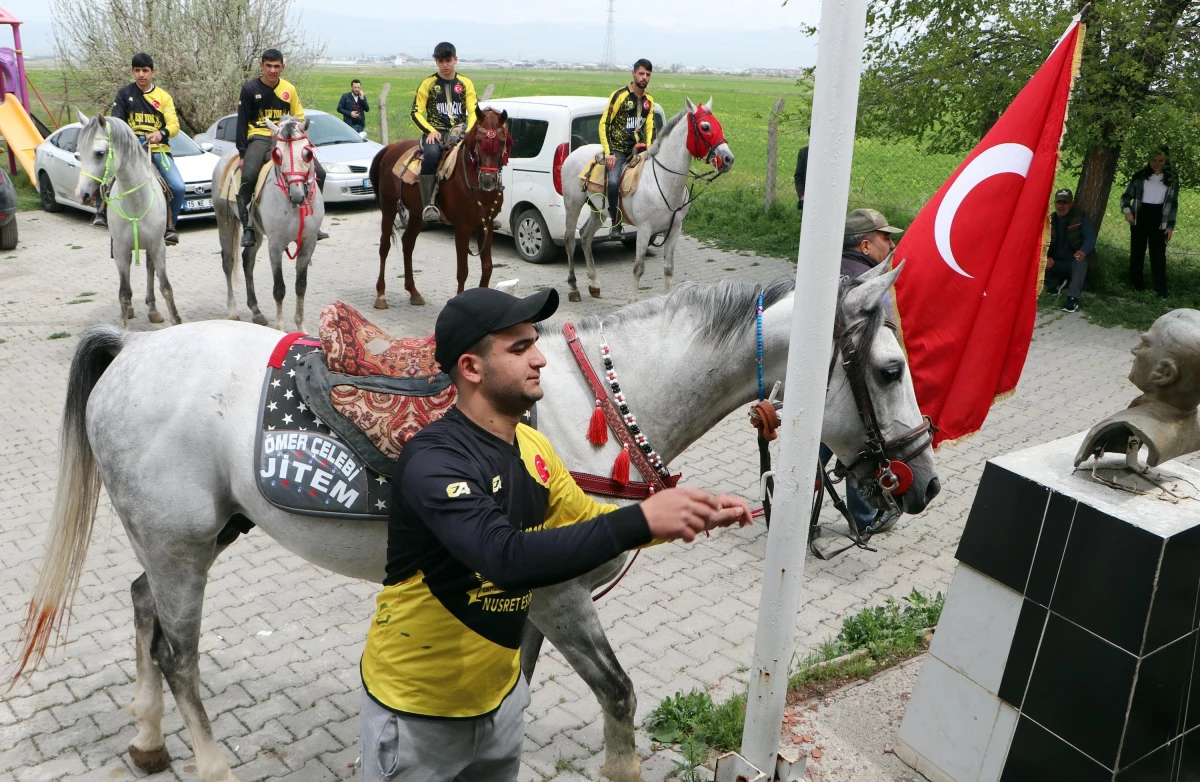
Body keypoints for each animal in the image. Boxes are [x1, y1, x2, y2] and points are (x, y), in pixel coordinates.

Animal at [14, 262, 940, 782]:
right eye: (890, 369)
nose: (923, 484)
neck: (584, 411)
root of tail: (131, 351)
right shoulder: (562, 594)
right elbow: (618, 695)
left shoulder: (530, 601)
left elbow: (511, 698)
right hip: (183, 545)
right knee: (178, 653)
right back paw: (208, 765)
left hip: (191, 536)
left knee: (142, 610)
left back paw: (147, 743)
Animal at [74, 112, 177, 326]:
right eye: (78, 155)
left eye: (99, 153)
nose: (81, 194)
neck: (136, 202)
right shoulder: (121, 248)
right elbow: (124, 292)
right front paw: (123, 324)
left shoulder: (158, 246)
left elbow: (165, 287)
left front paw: (177, 321)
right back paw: (131, 310)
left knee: (149, 269)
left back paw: (153, 310)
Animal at [212, 117, 321, 331]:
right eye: (277, 155)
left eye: (307, 153)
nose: (297, 196)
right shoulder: (275, 245)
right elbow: (279, 288)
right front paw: (279, 329)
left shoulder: (308, 244)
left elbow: (300, 286)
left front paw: (301, 328)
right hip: (225, 223)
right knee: (228, 262)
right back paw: (233, 311)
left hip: (255, 231)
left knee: (247, 261)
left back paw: (256, 312)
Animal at [369, 107, 511, 309]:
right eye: (478, 141)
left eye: (501, 142)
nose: (488, 180)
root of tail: (390, 148)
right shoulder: (463, 227)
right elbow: (463, 270)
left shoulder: (486, 225)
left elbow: (487, 267)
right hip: (389, 209)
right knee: (384, 246)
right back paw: (381, 295)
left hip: (416, 214)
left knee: (407, 243)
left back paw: (414, 292)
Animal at [559, 97, 734, 302]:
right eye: (705, 127)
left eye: (718, 125)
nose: (728, 159)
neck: (664, 180)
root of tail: (575, 153)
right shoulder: (644, 229)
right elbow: (638, 268)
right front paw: (632, 300)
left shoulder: (674, 229)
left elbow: (669, 268)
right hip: (572, 205)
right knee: (570, 240)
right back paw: (573, 288)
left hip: (598, 211)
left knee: (586, 237)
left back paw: (594, 284)